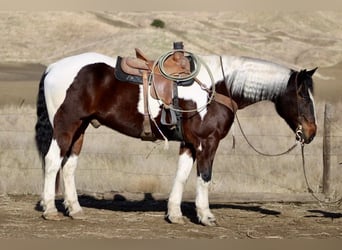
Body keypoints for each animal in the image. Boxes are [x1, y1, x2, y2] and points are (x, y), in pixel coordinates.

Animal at [35, 51, 318, 227]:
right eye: (303, 96)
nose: (312, 132)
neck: (218, 88)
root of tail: (53, 68)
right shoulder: (207, 142)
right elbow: (204, 177)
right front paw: (206, 216)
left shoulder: (190, 144)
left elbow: (181, 176)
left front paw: (174, 214)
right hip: (65, 126)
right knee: (52, 162)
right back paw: (50, 210)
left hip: (80, 129)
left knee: (68, 166)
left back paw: (75, 210)